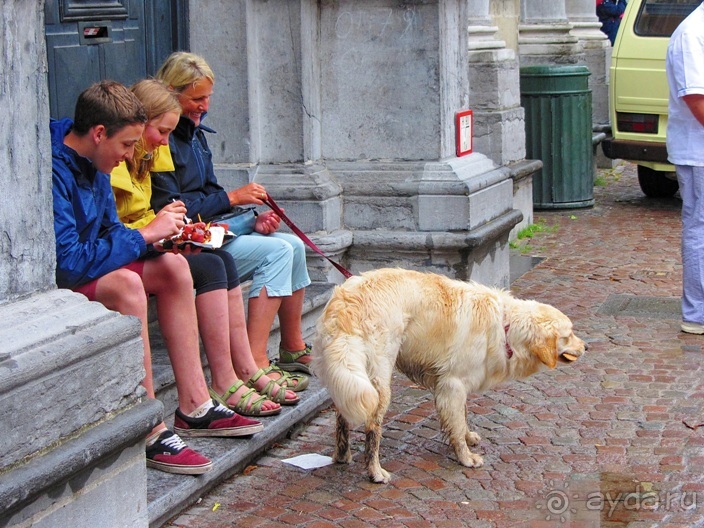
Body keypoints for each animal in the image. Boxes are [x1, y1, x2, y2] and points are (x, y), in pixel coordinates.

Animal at [310, 268, 584, 482]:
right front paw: (466, 457)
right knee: (372, 428)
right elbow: (457, 423)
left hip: (351, 378)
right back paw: (375, 471)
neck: (506, 326)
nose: (586, 347)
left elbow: (462, 416)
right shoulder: (452, 385)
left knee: (342, 415)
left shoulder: (457, 385)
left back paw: (342, 456)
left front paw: (468, 437)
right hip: (378, 381)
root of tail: (345, 303)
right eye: (569, 335)